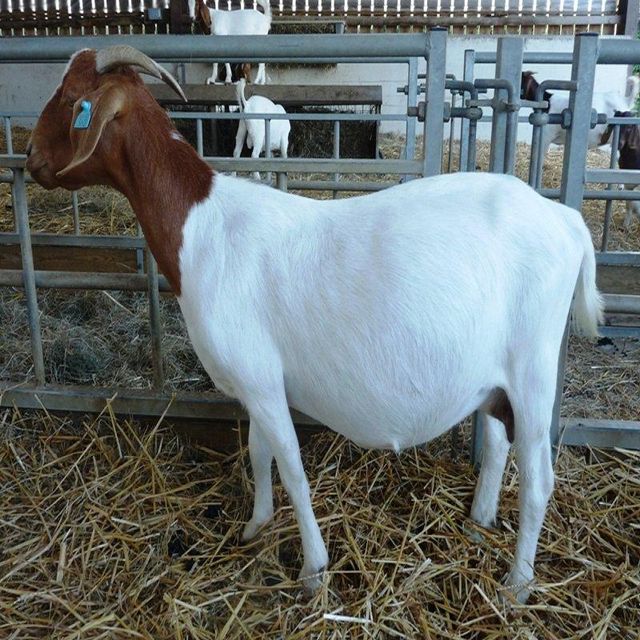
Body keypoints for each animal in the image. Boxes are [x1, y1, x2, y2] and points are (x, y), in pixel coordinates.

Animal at [26, 46, 604, 604]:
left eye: (73, 99)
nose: (30, 160)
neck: (202, 227)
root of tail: (567, 220)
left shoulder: (259, 380)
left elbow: (292, 470)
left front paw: (313, 570)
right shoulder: (257, 383)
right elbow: (258, 453)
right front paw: (255, 526)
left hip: (534, 369)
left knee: (538, 478)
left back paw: (518, 584)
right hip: (496, 379)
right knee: (501, 444)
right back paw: (479, 521)